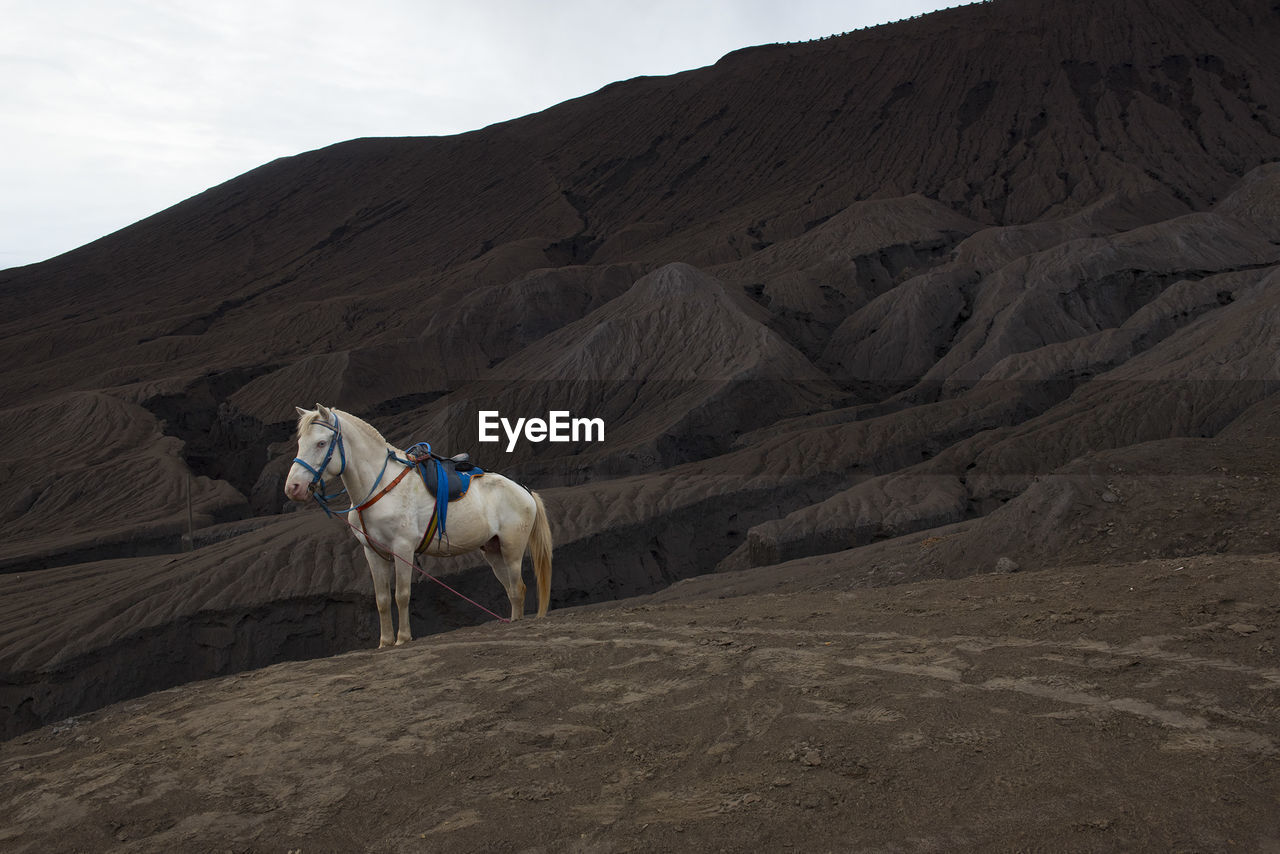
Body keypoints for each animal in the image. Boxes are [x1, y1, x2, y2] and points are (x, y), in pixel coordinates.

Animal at [286, 404, 555, 645]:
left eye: (321, 443)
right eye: (300, 443)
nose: (294, 488)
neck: (380, 486)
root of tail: (523, 489)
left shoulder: (402, 548)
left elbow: (402, 595)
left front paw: (403, 638)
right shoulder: (373, 553)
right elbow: (382, 599)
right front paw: (385, 641)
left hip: (512, 549)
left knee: (518, 587)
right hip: (493, 551)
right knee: (511, 590)